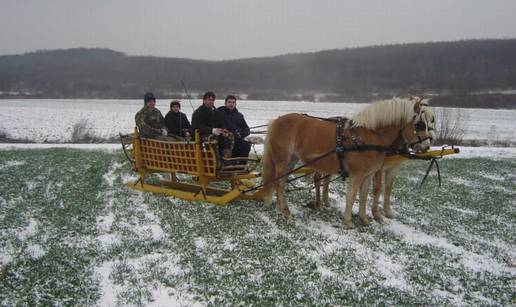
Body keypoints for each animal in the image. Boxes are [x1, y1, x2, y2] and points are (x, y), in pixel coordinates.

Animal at [262, 97, 432, 230]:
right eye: (420, 125)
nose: (426, 146)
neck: (369, 136)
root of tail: (276, 121)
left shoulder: (368, 175)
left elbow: (363, 196)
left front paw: (364, 219)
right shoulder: (357, 174)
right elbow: (351, 195)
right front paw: (348, 221)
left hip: (291, 160)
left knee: (281, 182)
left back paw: (281, 208)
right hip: (282, 161)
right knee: (279, 183)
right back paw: (286, 212)